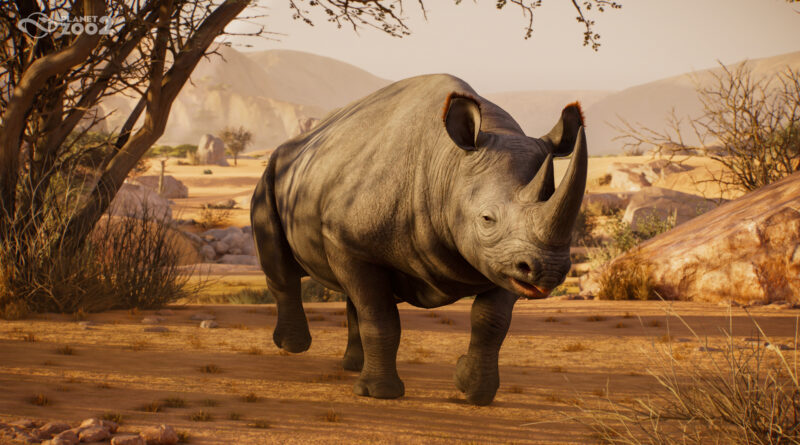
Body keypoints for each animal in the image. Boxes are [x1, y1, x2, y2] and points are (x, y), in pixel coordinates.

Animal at [251, 74, 587, 405]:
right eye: (487, 219)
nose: (549, 271)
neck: (451, 166)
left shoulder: (506, 261)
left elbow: (491, 322)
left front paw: (474, 391)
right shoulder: (344, 239)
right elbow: (380, 316)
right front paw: (380, 393)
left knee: (353, 294)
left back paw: (352, 366)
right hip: (273, 174)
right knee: (283, 266)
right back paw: (293, 346)